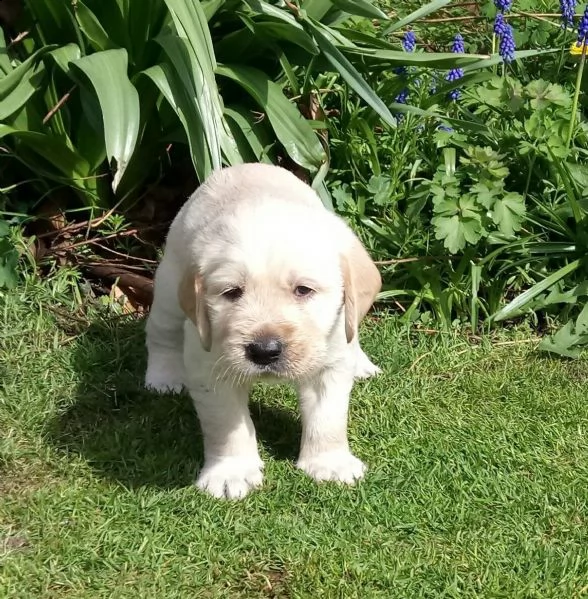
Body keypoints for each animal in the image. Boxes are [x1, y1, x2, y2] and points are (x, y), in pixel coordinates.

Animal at [146, 164, 382, 502]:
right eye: (232, 292)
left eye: (303, 290)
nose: (264, 351)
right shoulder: (210, 365)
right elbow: (226, 423)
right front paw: (231, 473)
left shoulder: (330, 361)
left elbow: (328, 418)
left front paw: (329, 463)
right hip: (169, 289)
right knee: (161, 334)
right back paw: (163, 378)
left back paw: (361, 362)